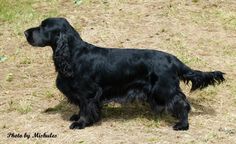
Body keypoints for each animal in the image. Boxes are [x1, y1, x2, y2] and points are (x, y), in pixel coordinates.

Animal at [24, 17, 225, 130]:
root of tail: (173, 59)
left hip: (164, 88)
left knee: (182, 103)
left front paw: (81, 123)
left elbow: (86, 108)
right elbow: (82, 107)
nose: (25, 32)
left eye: (43, 27)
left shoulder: (88, 92)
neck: (73, 54)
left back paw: (182, 125)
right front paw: (77, 117)